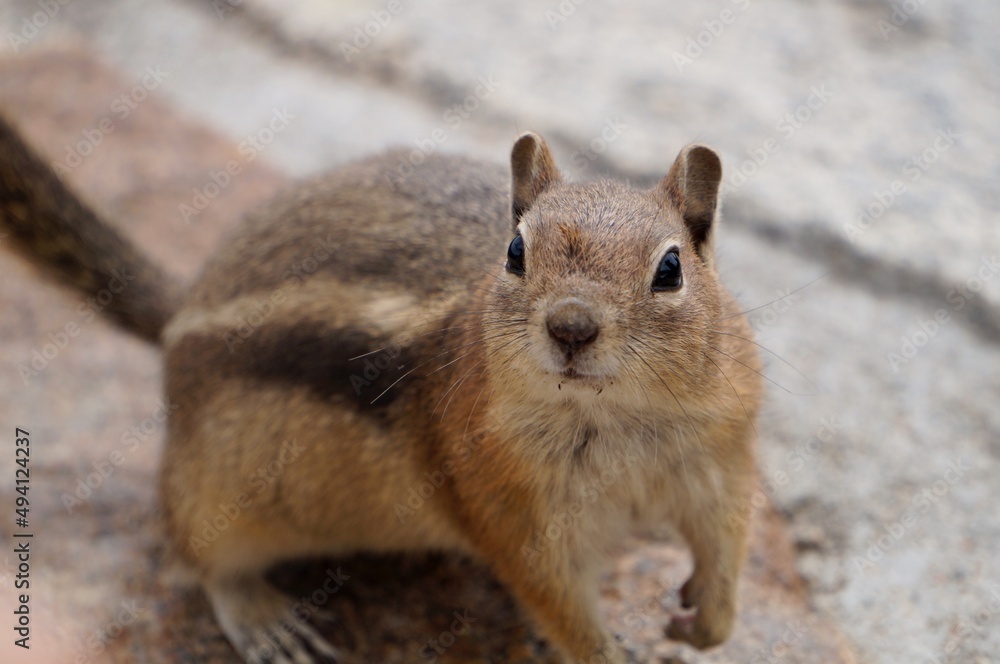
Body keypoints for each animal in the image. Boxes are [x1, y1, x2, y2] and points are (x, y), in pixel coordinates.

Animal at [0, 110, 763, 664]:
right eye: (516, 251)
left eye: (670, 269)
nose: (571, 326)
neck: (615, 418)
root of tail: (182, 310)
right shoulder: (510, 511)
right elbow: (557, 603)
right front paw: (612, 651)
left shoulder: (721, 459)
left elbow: (726, 542)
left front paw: (709, 620)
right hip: (215, 485)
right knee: (196, 547)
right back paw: (264, 620)